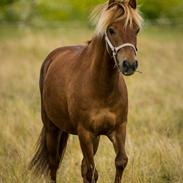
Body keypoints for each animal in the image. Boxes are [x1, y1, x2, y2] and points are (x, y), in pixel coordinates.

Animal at [29, 0, 143, 183]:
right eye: (111, 30)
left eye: (136, 29)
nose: (129, 64)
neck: (101, 88)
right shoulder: (85, 133)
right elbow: (91, 171)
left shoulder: (118, 128)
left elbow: (120, 161)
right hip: (51, 128)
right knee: (53, 163)